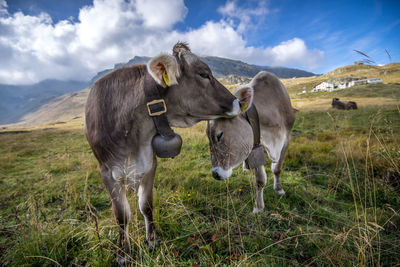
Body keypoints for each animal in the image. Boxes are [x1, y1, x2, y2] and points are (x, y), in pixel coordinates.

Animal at [84, 42, 241, 264]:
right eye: (203, 74)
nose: (239, 102)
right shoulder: (106, 172)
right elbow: (121, 216)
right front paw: (123, 253)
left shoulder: (150, 164)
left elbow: (146, 205)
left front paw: (152, 240)